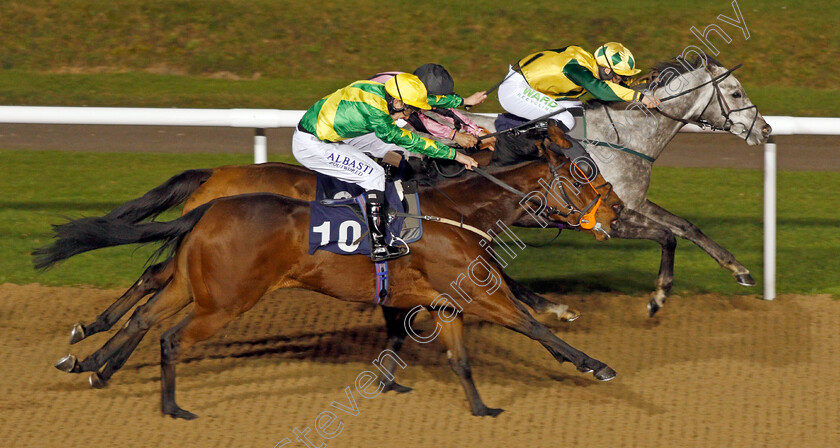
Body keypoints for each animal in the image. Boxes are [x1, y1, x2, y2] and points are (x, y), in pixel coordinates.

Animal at [36, 142, 620, 418]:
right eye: (584, 177)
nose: (618, 211)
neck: (454, 209)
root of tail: (212, 195)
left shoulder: (445, 299)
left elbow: (455, 356)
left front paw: (477, 408)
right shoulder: (479, 292)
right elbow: (532, 324)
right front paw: (594, 363)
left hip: (195, 285)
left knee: (148, 310)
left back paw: (93, 364)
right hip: (224, 300)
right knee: (163, 322)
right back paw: (149, 392)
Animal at [462, 55, 772, 316]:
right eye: (736, 93)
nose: (765, 129)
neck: (621, 136)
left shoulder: (636, 202)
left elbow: (686, 227)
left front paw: (739, 270)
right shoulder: (607, 218)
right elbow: (667, 236)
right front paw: (658, 296)